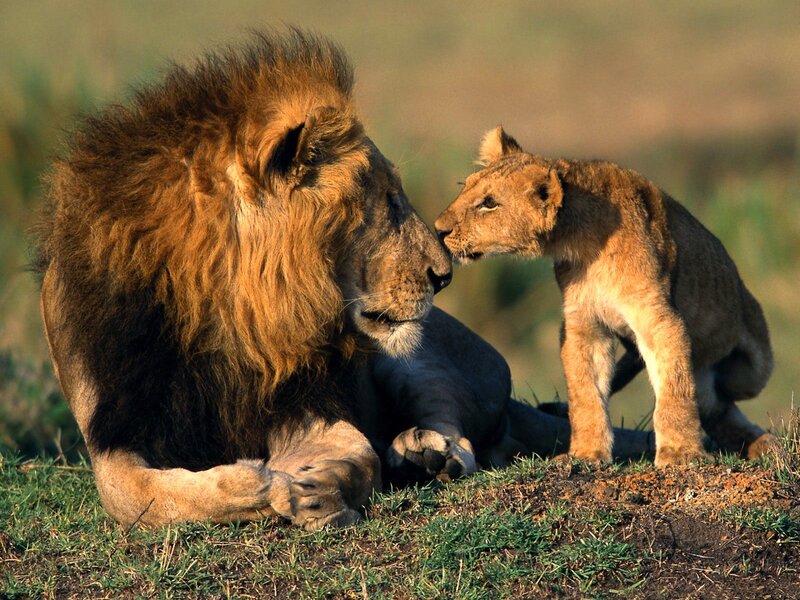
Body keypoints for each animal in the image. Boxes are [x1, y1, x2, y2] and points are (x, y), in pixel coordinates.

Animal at [35, 33, 655, 530]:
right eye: (387, 201)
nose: (444, 275)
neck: (226, 316)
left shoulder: (310, 399)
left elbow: (356, 452)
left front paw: (312, 486)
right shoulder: (113, 429)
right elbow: (130, 495)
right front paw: (252, 483)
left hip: (415, 355)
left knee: (464, 434)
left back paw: (426, 454)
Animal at [435, 126, 777, 467]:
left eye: (489, 203)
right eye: (464, 188)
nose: (438, 230)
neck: (583, 243)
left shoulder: (659, 318)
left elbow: (675, 388)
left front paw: (680, 453)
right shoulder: (583, 325)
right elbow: (586, 394)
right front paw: (586, 454)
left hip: (751, 369)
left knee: (721, 397)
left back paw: (764, 443)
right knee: (713, 406)